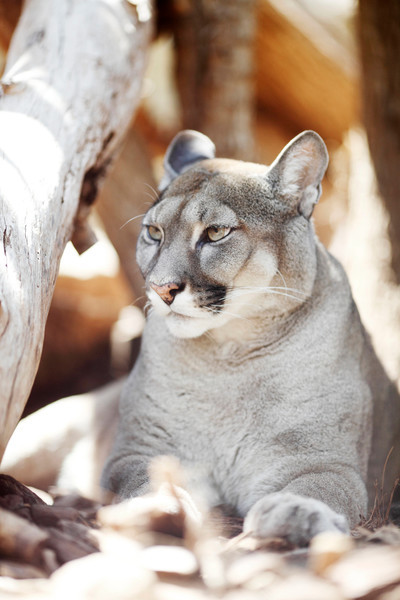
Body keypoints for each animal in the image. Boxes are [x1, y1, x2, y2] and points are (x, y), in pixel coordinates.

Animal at [101, 130, 400, 544]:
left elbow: (317, 488)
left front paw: (296, 511)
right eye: (154, 233)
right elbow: (143, 478)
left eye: (215, 233)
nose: (161, 289)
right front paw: (162, 508)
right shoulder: (136, 449)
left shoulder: (325, 462)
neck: (231, 354)